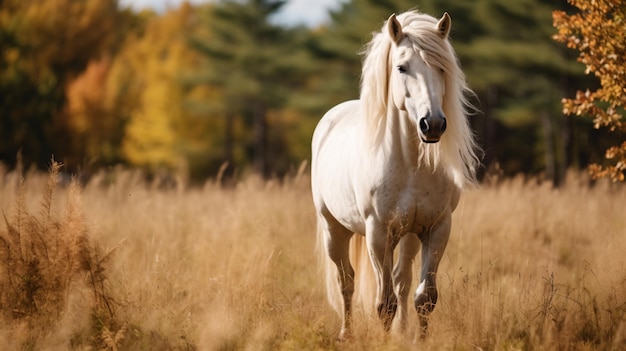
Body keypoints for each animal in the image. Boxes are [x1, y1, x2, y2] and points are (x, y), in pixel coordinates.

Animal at [310, 10, 478, 340]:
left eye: (442, 67)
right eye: (401, 67)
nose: (433, 124)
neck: (410, 166)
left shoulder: (437, 228)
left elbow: (424, 297)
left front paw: (420, 341)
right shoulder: (378, 233)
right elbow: (384, 303)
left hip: (410, 236)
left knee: (401, 280)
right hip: (334, 229)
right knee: (346, 281)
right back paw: (346, 332)